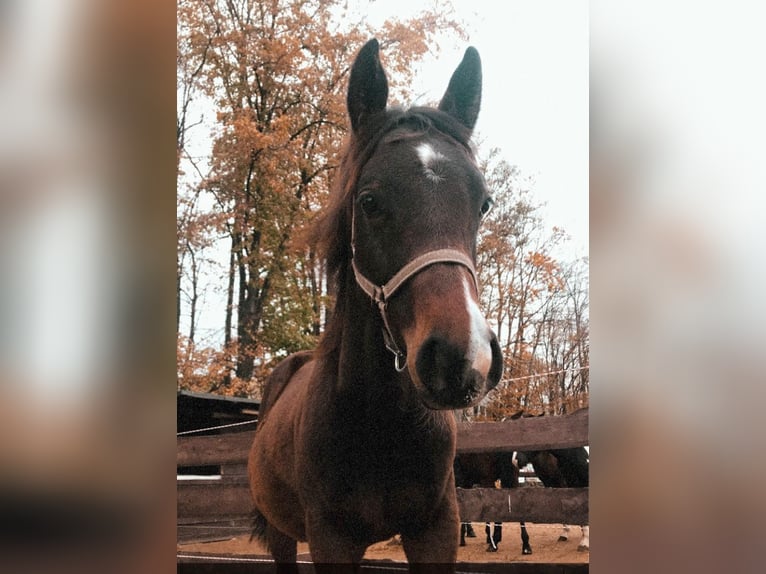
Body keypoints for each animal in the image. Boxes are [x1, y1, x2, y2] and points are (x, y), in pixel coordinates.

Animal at [249, 38, 508, 572]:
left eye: (483, 204)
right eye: (369, 202)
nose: (462, 358)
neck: (381, 428)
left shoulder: (436, 530)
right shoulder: (331, 539)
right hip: (282, 533)